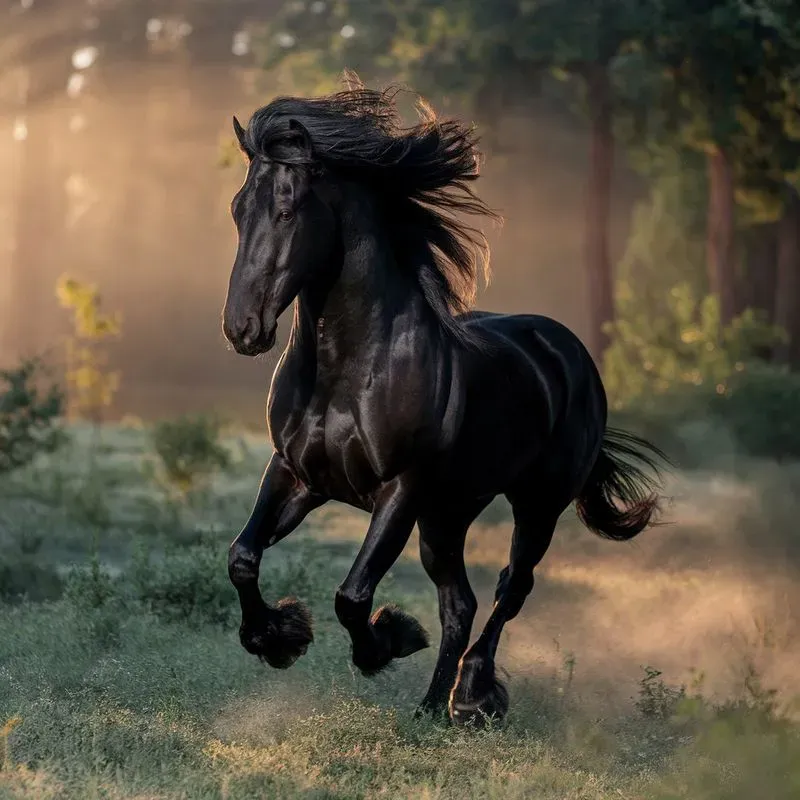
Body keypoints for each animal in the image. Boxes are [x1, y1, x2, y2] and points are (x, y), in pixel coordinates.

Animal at [221, 76, 668, 727]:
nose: (242, 329)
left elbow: (352, 596)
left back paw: (472, 695)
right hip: (448, 514)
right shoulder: (297, 474)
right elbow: (243, 557)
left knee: (511, 588)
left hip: (535, 504)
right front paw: (279, 639)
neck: (347, 369)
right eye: (237, 210)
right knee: (461, 602)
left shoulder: (399, 489)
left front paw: (389, 641)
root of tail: (569, 353)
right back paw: (432, 710)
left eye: (287, 209)